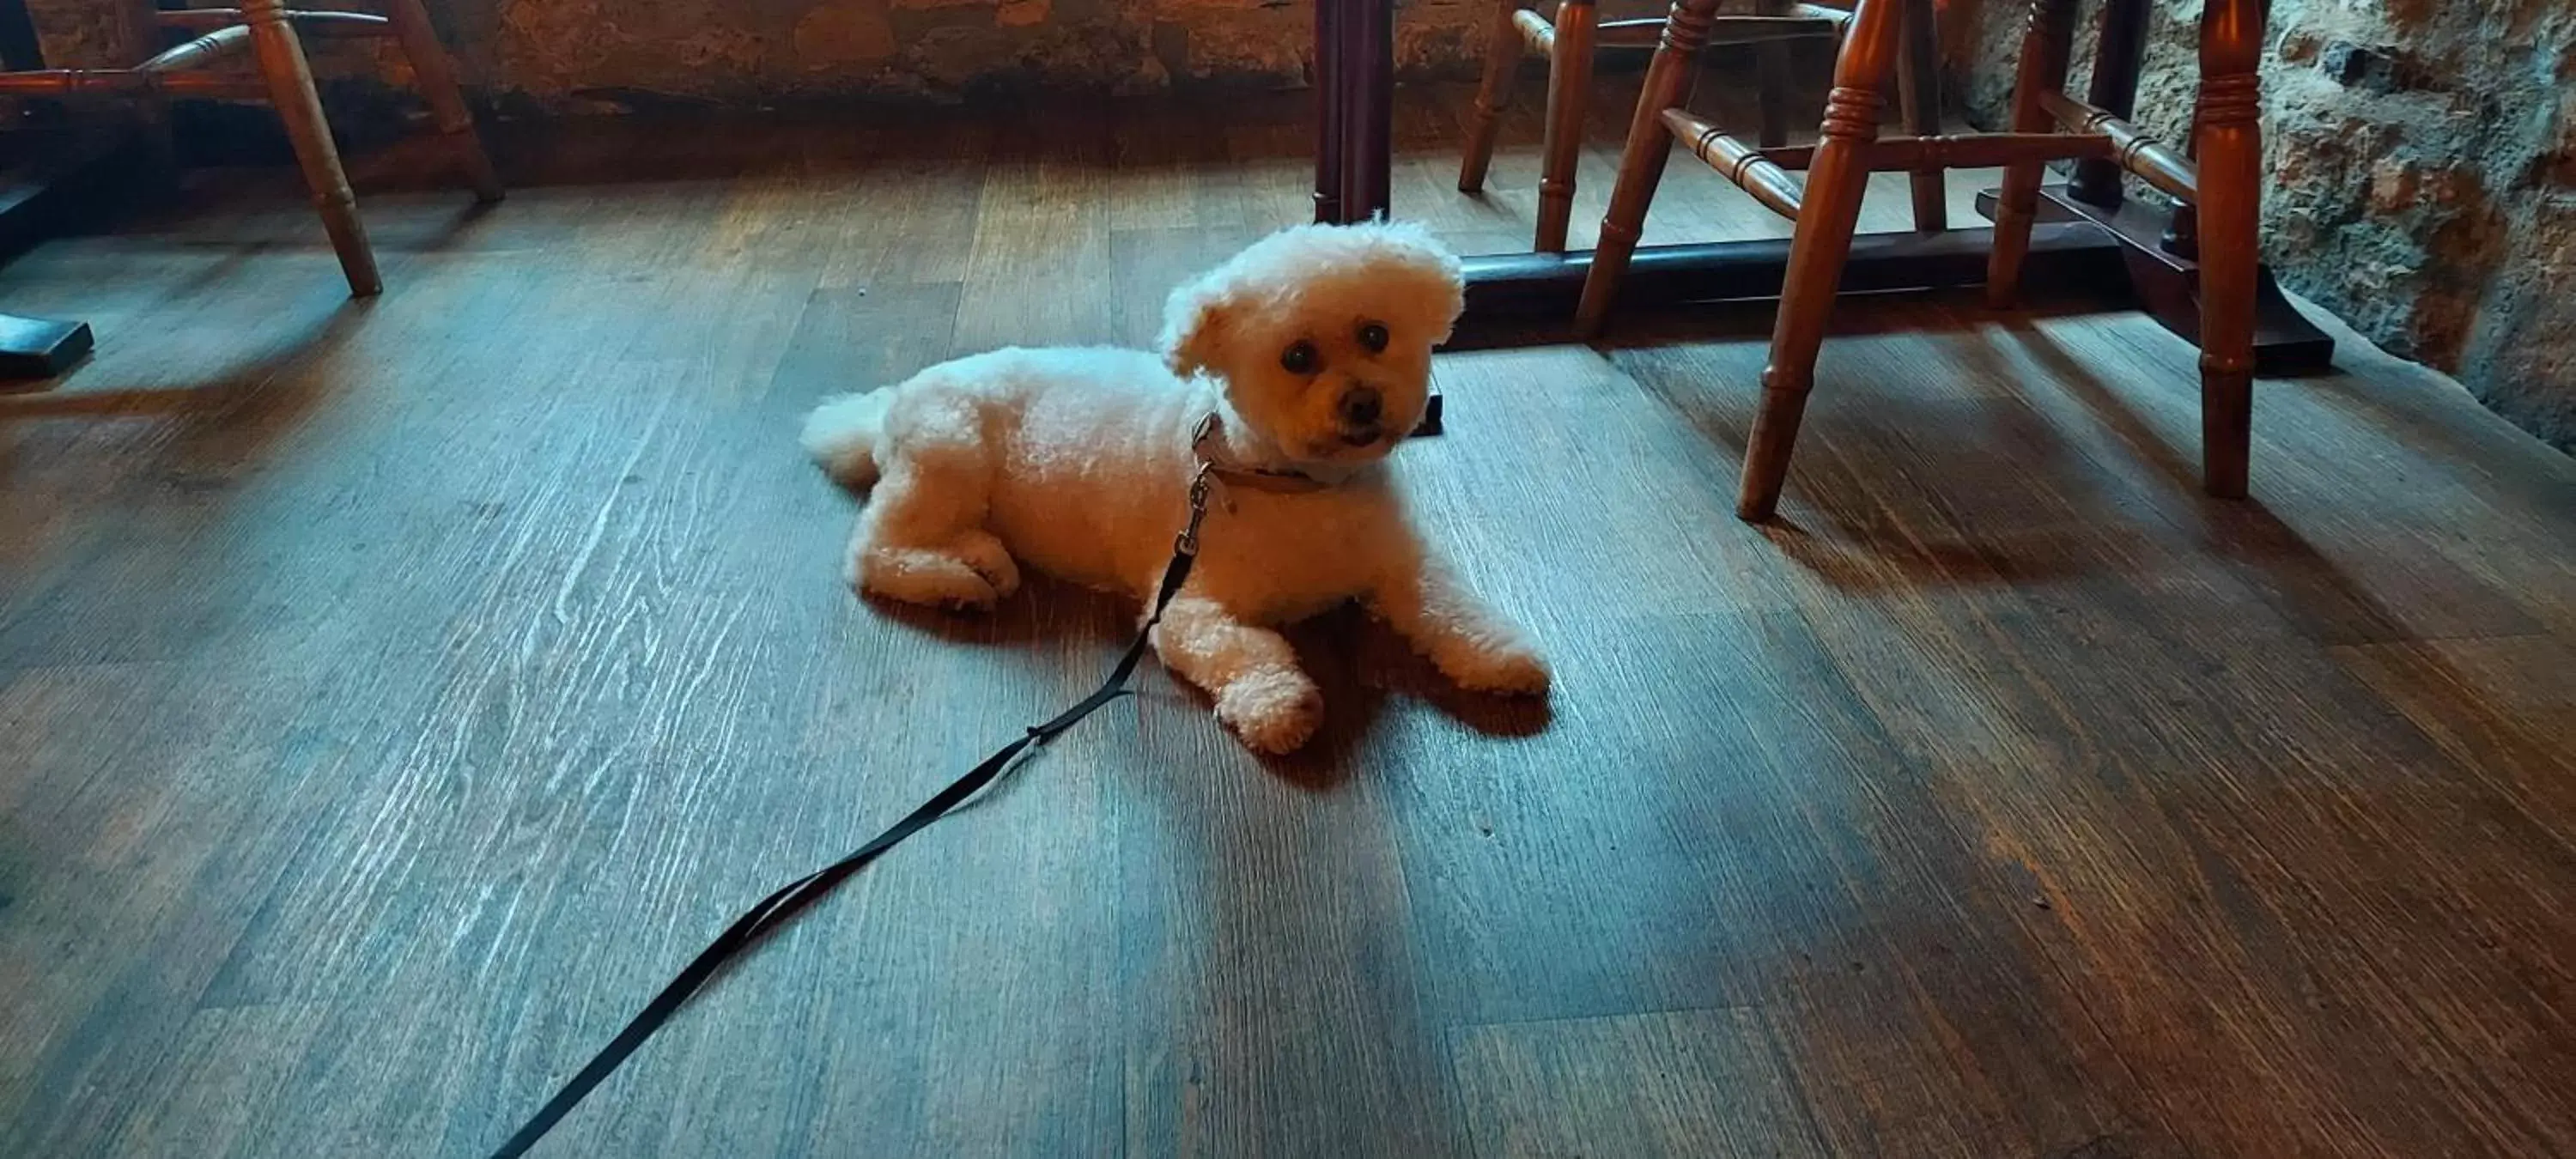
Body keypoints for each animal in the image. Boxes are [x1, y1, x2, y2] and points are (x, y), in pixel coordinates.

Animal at [793, 221, 1535, 757]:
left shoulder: (1401, 565)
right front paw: (1279, 703)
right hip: (949, 455)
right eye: (1297, 357)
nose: (1363, 403)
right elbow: (1243, 651)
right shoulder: (1183, 605)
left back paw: (982, 562)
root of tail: (892, 400)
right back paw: (952, 584)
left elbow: (1452, 606)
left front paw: (1503, 656)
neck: (1288, 482)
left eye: (1375, 335)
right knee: (871, 552)